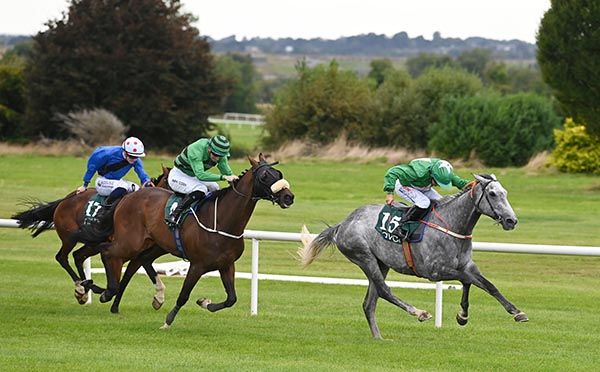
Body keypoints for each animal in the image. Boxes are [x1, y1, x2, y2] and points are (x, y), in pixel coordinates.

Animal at [11, 170, 171, 306]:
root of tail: (65, 200)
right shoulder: (120, 250)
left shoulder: (136, 254)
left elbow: (133, 273)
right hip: (70, 238)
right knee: (62, 257)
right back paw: (81, 288)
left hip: (91, 244)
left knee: (78, 256)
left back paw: (85, 287)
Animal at [77, 153, 296, 326]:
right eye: (265, 176)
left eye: (279, 174)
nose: (288, 197)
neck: (222, 221)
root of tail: (128, 196)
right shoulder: (197, 265)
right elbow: (183, 295)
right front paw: (167, 321)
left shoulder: (226, 264)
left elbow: (231, 298)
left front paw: (205, 302)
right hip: (131, 241)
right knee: (107, 252)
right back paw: (99, 290)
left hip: (150, 244)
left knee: (129, 259)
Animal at [298, 174, 528, 340]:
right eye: (492, 194)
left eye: (505, 193)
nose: (511, 220)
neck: (452, 224)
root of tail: (343, 224)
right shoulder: (435, 271)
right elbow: (468, 280)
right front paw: (463, 316)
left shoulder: (467, 264)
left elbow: (486, 285)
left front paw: (515, 312)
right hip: (364, 257)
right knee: (384, 291)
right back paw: (419, 313)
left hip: (381, 263)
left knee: (369, 303)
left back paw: (378, 337)